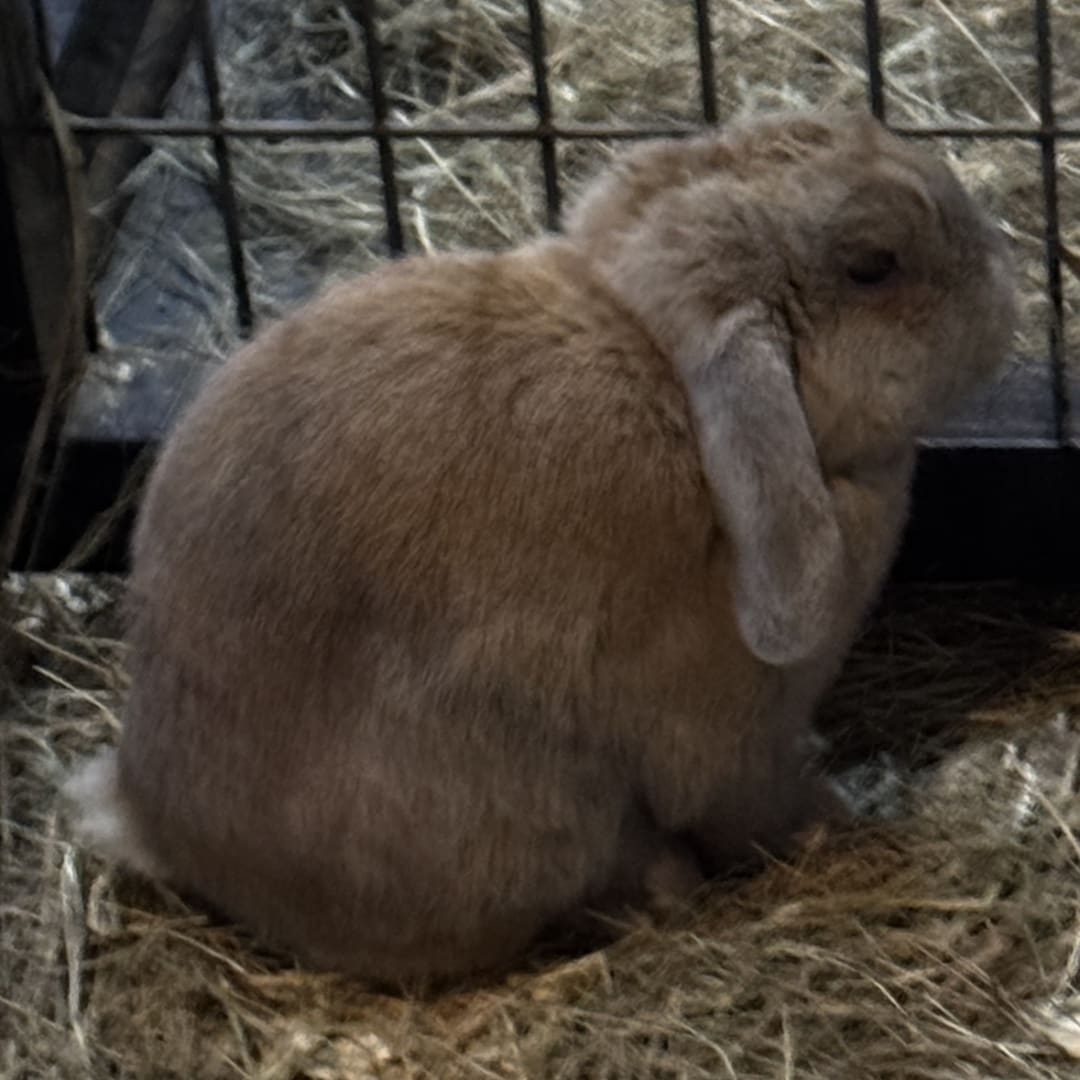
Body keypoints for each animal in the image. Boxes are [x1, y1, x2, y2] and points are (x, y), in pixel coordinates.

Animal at [64, 110, 1017, 986]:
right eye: (872, 265)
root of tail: (157, 817)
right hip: (526, 808)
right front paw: (845, 820)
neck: (661, 367)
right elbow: (754, 805)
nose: (1001, 284)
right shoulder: (731, 738)